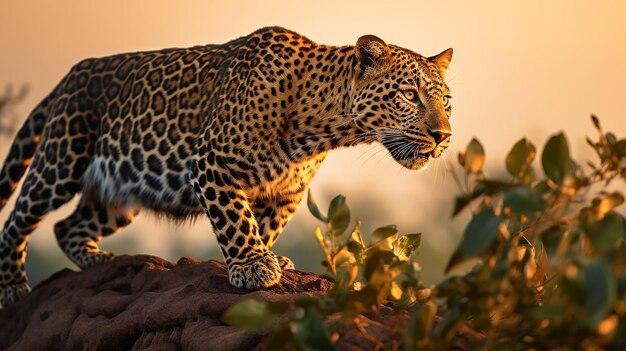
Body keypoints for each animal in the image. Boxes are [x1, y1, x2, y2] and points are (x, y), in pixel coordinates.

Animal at [0, 26, 450, 308]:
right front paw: (253, 267)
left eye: (445, 100)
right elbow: (235, 219)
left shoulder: (286, 192)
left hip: (121, 191)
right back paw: (15, 289)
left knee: (67, 226)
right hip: (61, 161)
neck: (323, 126)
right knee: (18, 221)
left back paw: (105, 262)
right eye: (409, 95)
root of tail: (69, 76)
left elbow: (263, 223)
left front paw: (271, 258)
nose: (443, 135)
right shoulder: (211, 162)